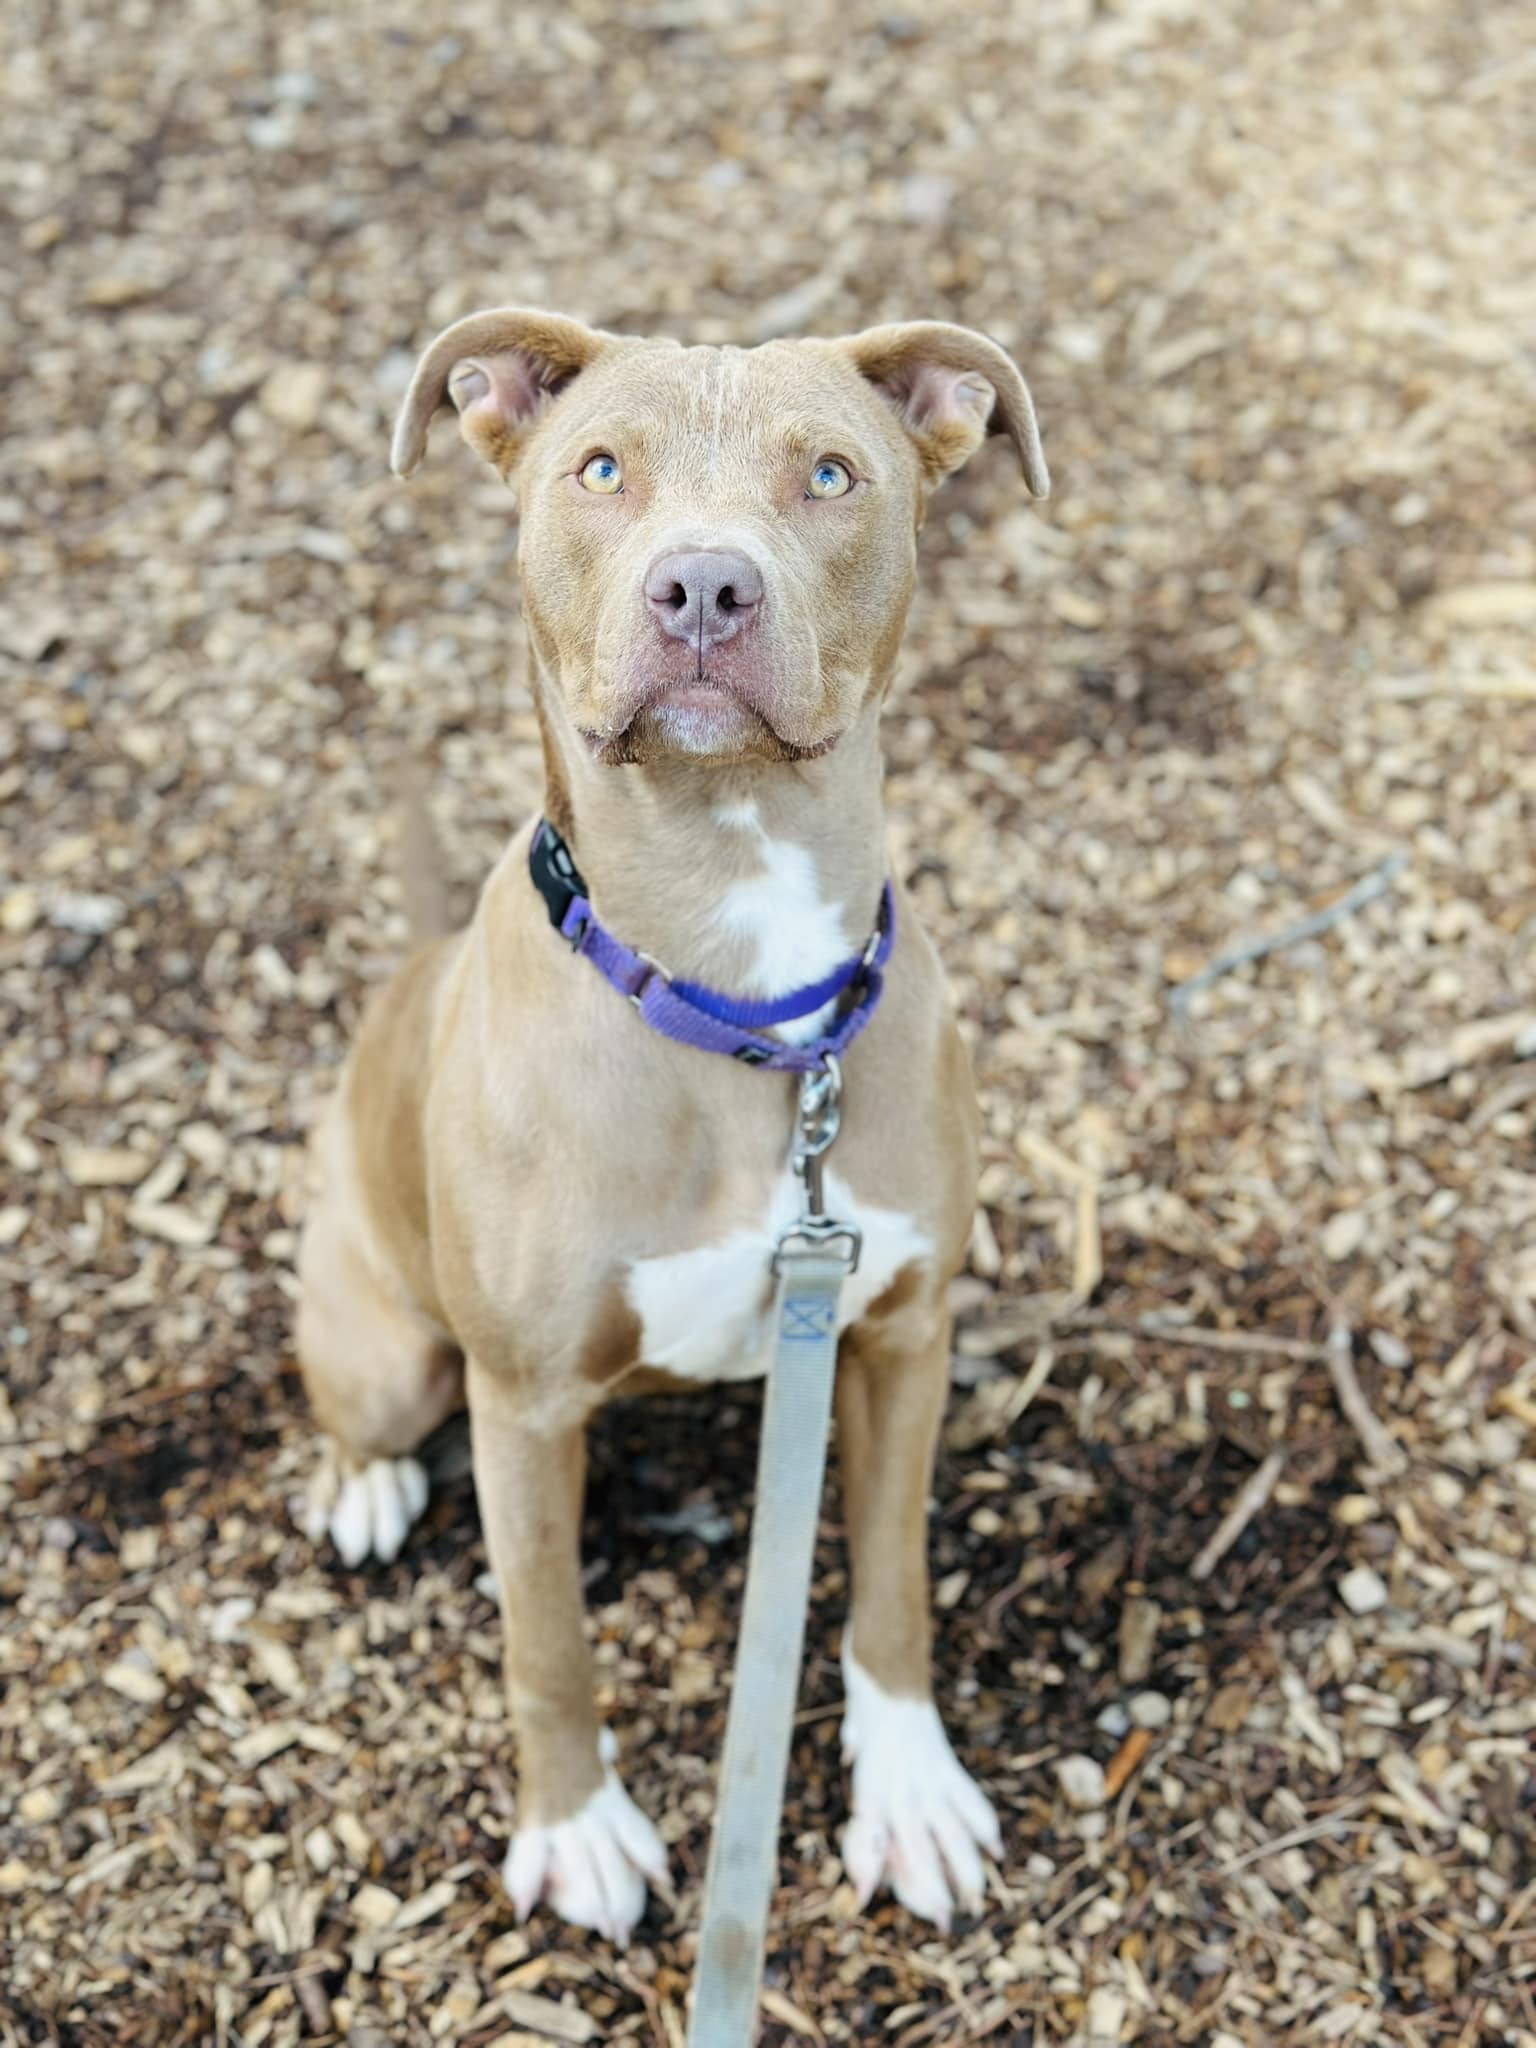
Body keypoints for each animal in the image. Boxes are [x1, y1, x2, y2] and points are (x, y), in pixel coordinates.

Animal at [296, 311, 1056, 1941]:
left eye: (830, 474)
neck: (737, 974)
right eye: (600, 469)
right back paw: (369, 1482)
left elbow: (892, 1581)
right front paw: (574, 1826)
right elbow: (547, 1643)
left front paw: (909, 1791)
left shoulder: (899, 1334)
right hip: (392, 1353)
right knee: (363, 1409)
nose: (704, 585)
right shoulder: (522, 1407)